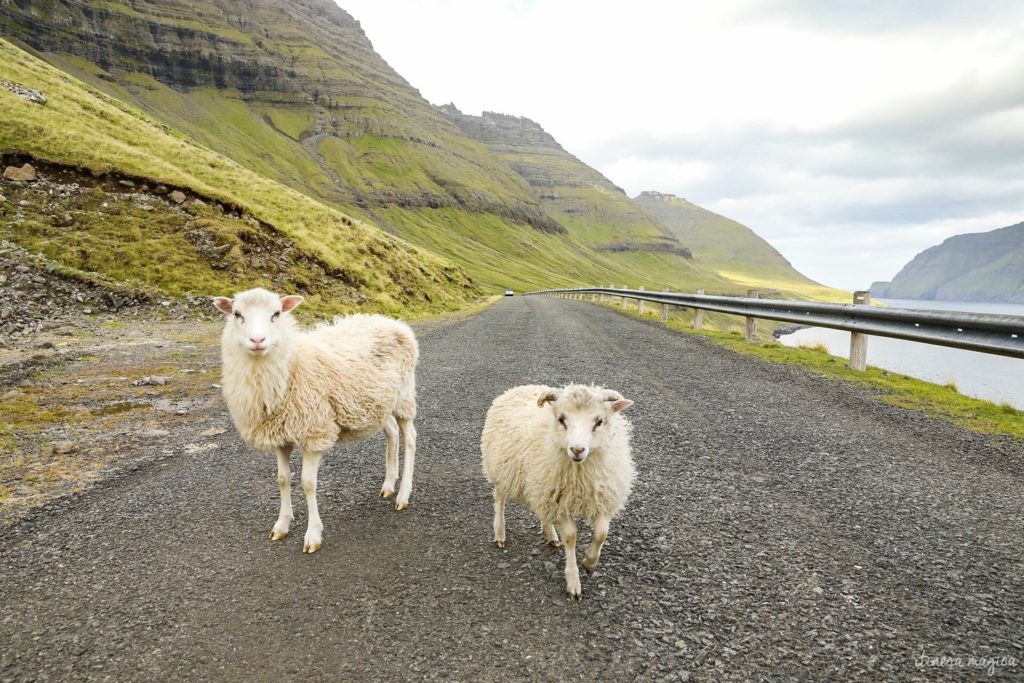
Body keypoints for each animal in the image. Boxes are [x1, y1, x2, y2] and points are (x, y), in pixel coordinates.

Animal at [211, 288, 419, 557]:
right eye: (237, 314)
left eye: (276, 314)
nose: (257, 340)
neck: (290, 367)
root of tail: (393, 322)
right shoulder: (280, 436)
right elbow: (282, 479)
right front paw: (282, 524)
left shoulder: (313, 432)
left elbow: (307, 483)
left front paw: (313, 535)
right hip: (379, 404)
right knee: (392, 433)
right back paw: (388, 485)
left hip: (404, 396)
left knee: (410, 438)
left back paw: (403, 494)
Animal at [479, 382, 630, 602]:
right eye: (561, 419)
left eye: (599, 421)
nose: (577, 450)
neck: (579, 472)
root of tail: (519, 387)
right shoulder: (560, 503)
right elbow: (571, 537)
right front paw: (573, 582)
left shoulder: (602, 496)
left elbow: (602, 534)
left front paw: (589, 563)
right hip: (501, 467)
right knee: (499, 498)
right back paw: (500, 533)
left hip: (541, 485)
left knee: (542, 511)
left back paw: (551, 535)